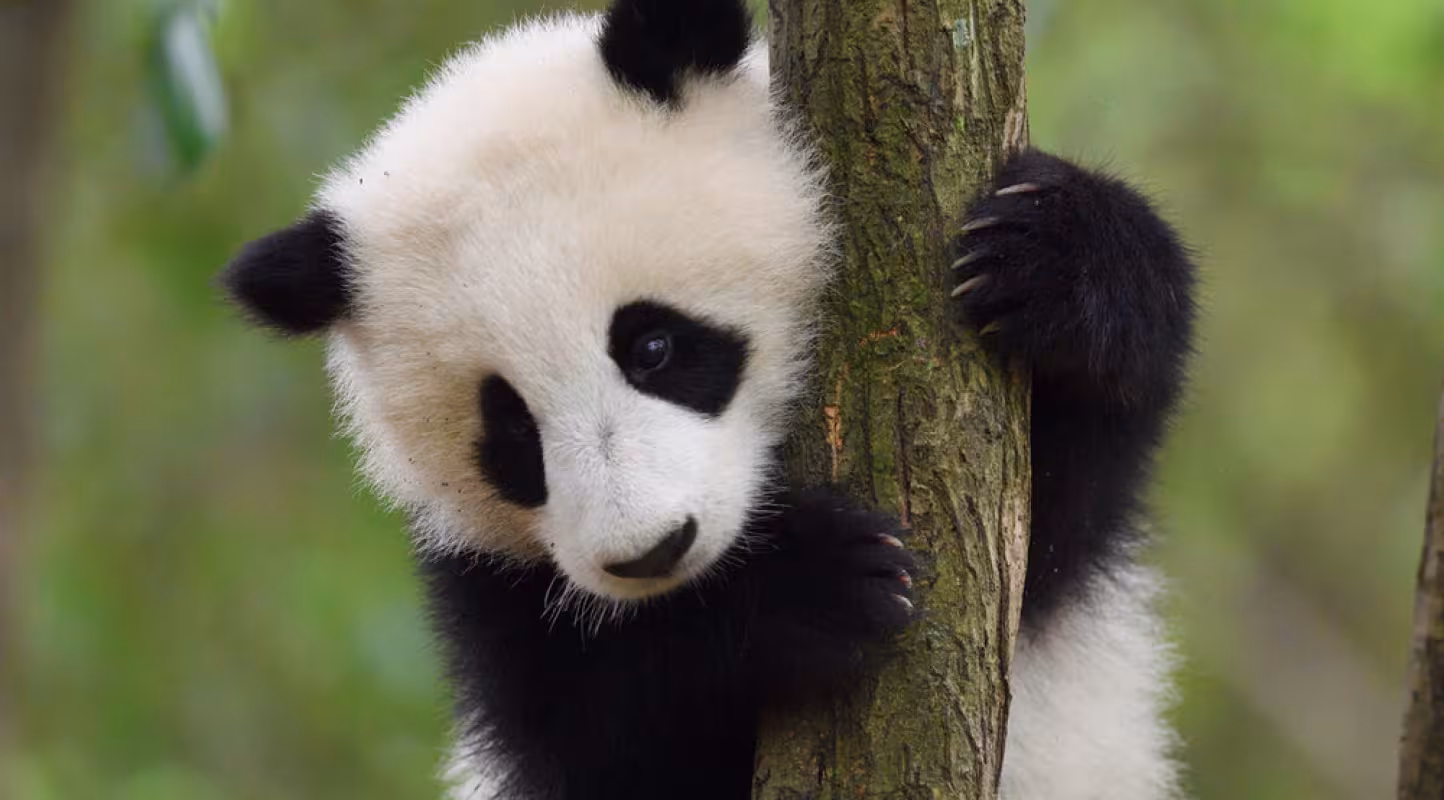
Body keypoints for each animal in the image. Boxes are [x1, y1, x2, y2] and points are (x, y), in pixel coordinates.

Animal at [219, 0, 1197, 798]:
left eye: (652, 347)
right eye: (511, 436)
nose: (653, 552)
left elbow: (1052, 512)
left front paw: (1049, 255)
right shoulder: (485, 587)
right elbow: (603, 727)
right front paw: (812, 584)